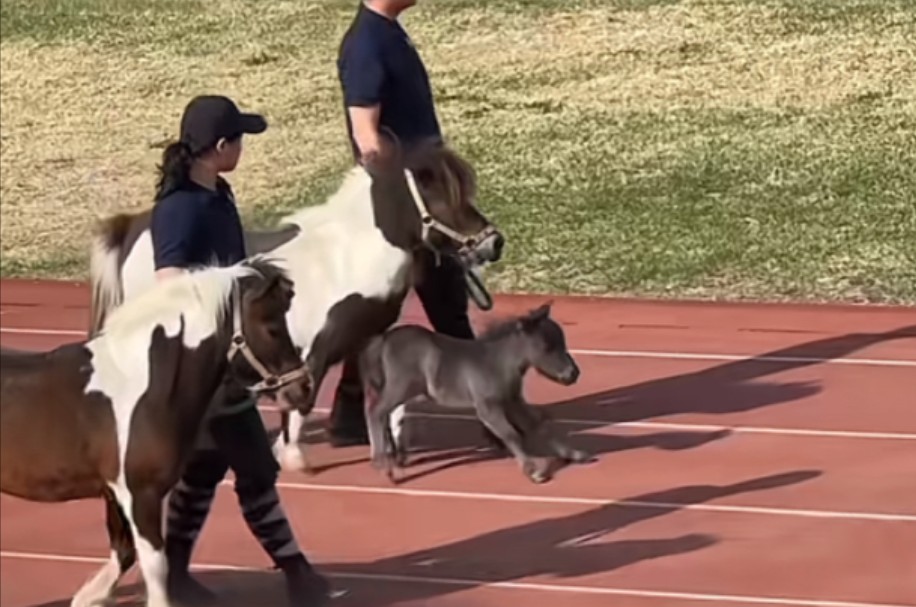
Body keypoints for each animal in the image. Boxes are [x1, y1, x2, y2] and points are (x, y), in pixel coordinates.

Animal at [0, 258, 310, 607]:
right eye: (271, 327)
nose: (304, 388)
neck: (142, 385)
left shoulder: (116, 492)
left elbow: (124, 552)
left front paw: (88, 597)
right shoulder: (139, 493)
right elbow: (154, 564)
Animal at [87, 135, 508, 472]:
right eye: (444, 198)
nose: (494, 242)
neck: (349, 256)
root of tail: (133, 229)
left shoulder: (368, 337)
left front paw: (393, 451)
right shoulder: (317, 346)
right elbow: (303, 400)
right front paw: (291, 458)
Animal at [358, 304, 592, 484]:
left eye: (562, 342)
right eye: (546, 346)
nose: (573, 374)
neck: (499, 361)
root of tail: (384, 339)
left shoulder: (513, 400)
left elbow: (538, 423)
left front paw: (574, 454)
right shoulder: (488, 407)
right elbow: (510, 433)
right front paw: (533, 471)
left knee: (384, 414)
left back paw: (393, 459)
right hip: (399, 387)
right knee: (376, 411)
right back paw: (384, 466)